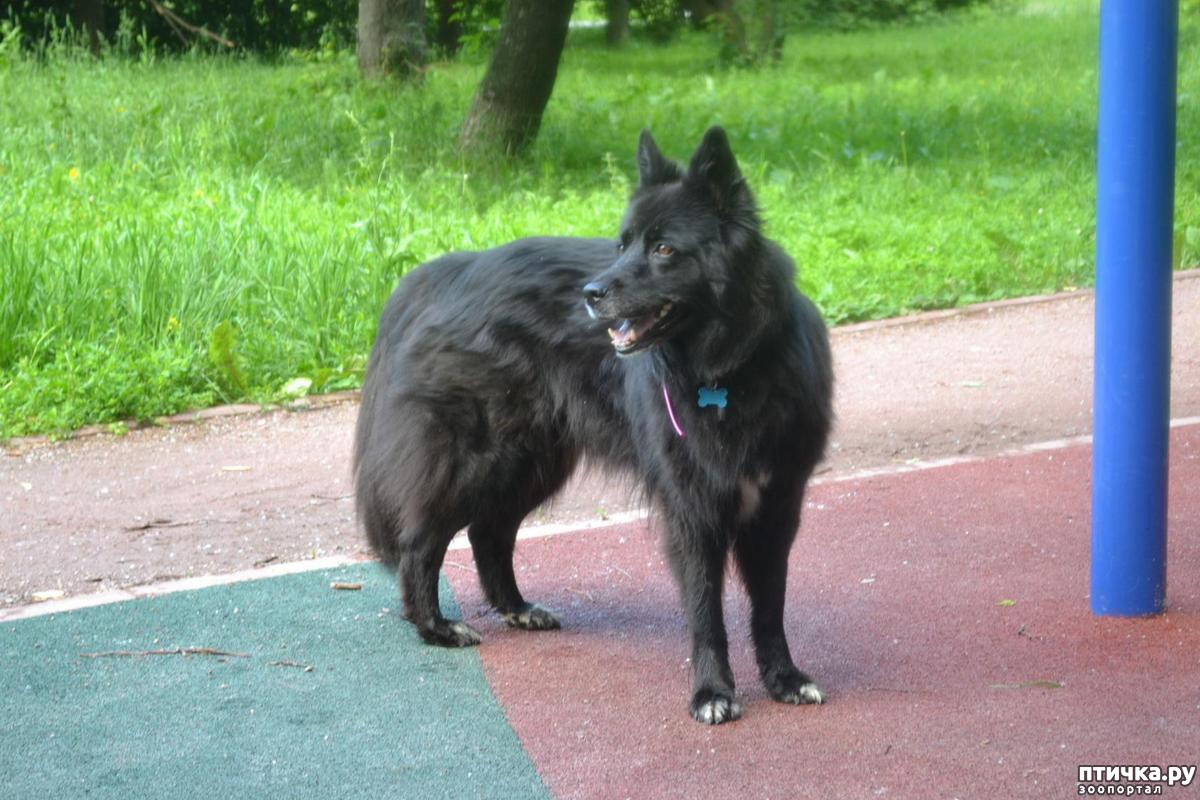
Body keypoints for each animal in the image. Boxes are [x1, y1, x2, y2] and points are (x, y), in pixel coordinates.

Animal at [353, 127, 833, 724]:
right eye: (622, 244)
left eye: (664, 248)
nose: (590, 294)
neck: (727, 370)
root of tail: (448, 270)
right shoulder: (692, 509)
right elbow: (706, 611)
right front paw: (712, 692)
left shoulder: (776, 506)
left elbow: (770, 608)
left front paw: (784, 678)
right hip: (481, 459)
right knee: (422, 540)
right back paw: (436, 627)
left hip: (533, 463)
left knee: (488, 532)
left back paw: (517, 609)